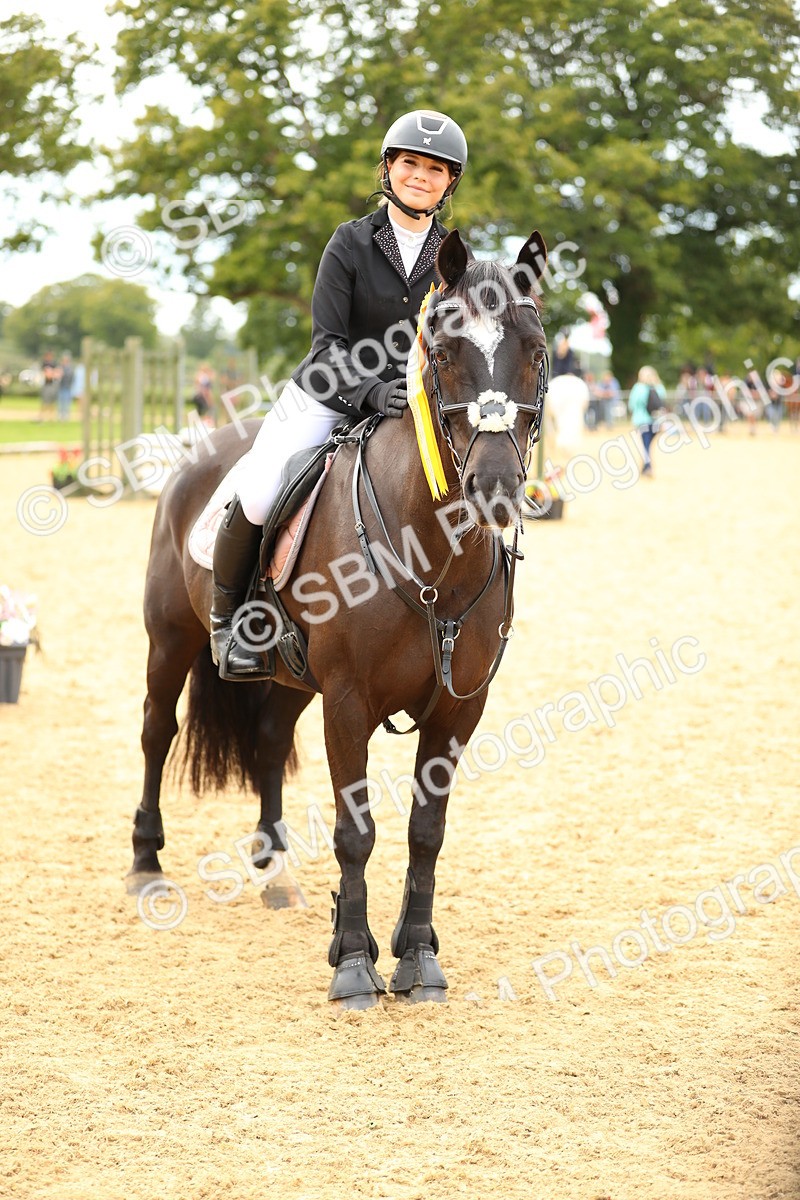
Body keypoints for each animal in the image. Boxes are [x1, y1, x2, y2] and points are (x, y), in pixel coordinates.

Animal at [129, 228, 549, 1009]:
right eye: (443, 353)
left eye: (536, 350)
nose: (496, 487)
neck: (433, 554)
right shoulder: (349, 701)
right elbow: (357, 832)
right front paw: (354, 964)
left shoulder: (457, 710)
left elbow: (425, 833)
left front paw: (418, 958)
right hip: (170, 639)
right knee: (155, 732)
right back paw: (145, 866)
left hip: (292, 679)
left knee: (267, 741)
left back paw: (275, 874)